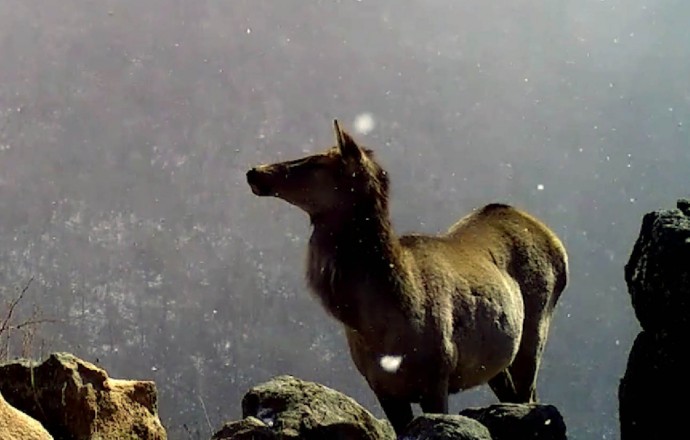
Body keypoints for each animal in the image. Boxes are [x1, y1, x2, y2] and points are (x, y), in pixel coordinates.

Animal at [245, 119, 568, 434]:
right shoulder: (380, 386)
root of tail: (556, 243)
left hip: (535, 329)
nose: (254, 172)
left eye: (315, 162)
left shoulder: (438, 373)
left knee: (529, 396)